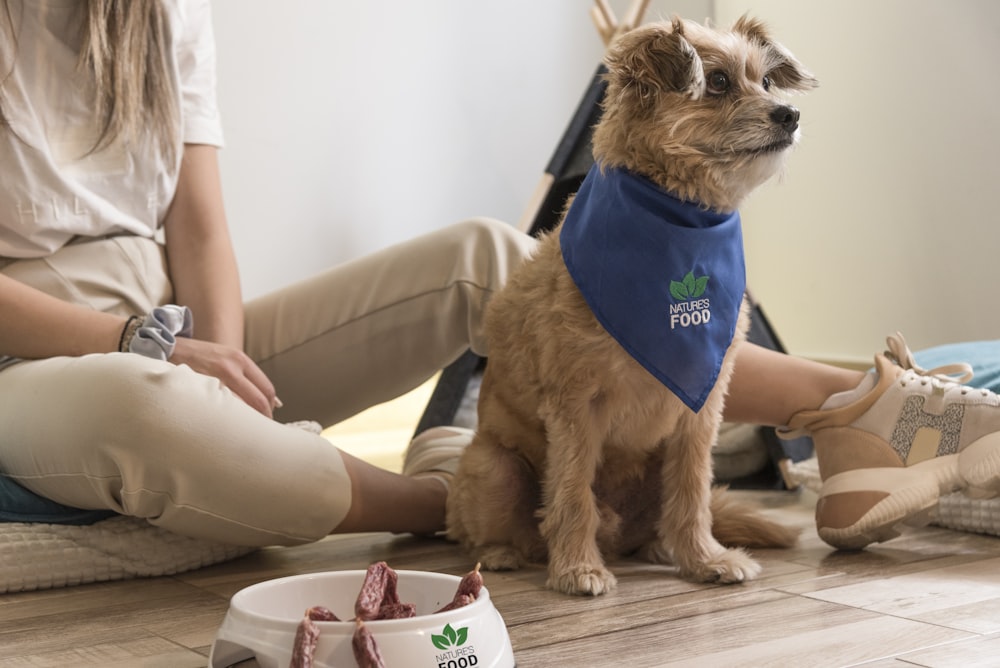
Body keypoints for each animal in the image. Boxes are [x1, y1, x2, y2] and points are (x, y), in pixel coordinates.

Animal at [450, 15, 816, 596]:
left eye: (765, 81)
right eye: (717, 82)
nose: (790, 113)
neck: (678, 219)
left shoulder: (702, 407)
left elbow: (692, 493)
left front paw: (704, 559)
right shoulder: (576, 406)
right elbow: (572, 493)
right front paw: (577, 569)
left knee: (661, 519)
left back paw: (663, 548)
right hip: (494, 466)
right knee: (492, 530)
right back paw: (505, 552)